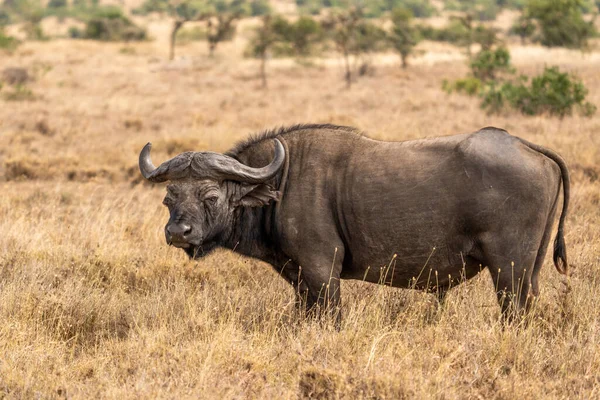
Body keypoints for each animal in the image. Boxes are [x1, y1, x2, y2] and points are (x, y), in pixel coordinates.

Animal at [138, 125, 568, 322]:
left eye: (211, 196)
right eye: (169, 197)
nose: (178, 233)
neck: (282, 182)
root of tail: (525, 145)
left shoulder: (322, 273)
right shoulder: (301, 280)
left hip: (508, 272)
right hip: (529, 271)